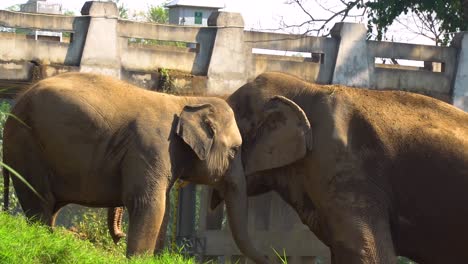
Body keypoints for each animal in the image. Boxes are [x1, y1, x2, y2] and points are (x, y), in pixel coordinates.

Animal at [0, 71, 266, 262]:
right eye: (235, 151)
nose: (117, 236)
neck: (187, 100)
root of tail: (15, 103)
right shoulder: (151, 147)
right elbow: (148, 204)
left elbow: (163, 208)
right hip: (26, 144)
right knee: (39, 200)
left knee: (49, 206)